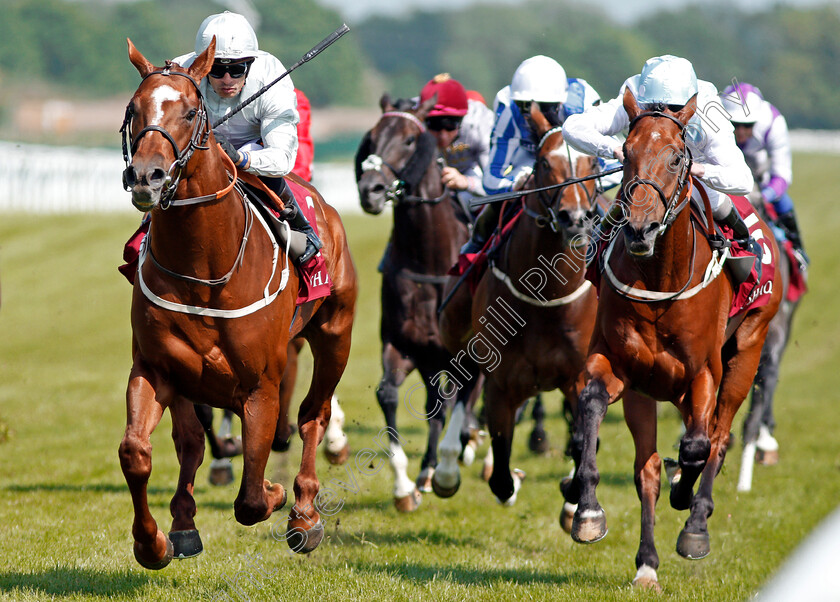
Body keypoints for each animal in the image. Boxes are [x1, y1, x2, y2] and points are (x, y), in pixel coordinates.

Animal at [117, 38, 354, 568]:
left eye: (190, 111)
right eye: (134, 109)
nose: (146, 176)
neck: (205, 267)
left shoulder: (262, 384)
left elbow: (250, 497)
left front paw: (277, 493)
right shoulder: (156, 367)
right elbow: (137, 452)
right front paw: (153, 542)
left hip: (335, 336)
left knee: (313, 414)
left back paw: (304, 513)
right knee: (189, 443)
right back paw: (184, 524)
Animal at [356, 94, 480, 510]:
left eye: (410, 140)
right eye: (372, 136)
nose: (371, 190)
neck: (429, 260)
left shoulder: (464, 351)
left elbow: (461, 397)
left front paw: (449, 468)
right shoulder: (402, 344)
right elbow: (388, 393)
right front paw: (404, 485)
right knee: (436, 402)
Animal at [436, 104, 600, 506]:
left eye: (592, 161)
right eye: (543, 163)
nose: (575, 218)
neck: (546, 297)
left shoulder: (577, 377)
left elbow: (581, 442)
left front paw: (574, 495)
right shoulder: (502, 384)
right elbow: (501, 476)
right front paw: (509, 479)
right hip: (460, 335)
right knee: (464, 384)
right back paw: (447, 467)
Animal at [568, 89, 784, 592]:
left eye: (676, 157)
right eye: (625, 153)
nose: (639, 229)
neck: (660, 281)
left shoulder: (705, 373)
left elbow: (698, 447)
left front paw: (686, 499)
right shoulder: (618, 366)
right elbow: (591, 404)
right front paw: (587, 512)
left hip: (747, 353)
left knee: (718, 438)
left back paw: (696, 522)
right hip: (647, 391)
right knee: (647, 468)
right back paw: (647, 562)